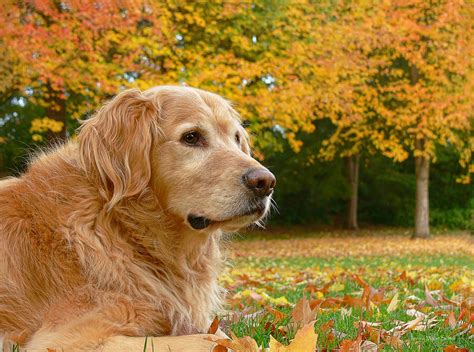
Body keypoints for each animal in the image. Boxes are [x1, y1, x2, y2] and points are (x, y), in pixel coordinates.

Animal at [0, 86, 276, 350]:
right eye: (191, 137)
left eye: (236, 138)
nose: (265, 182)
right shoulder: (66, 339)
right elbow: (217, 341)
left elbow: (223, 335)